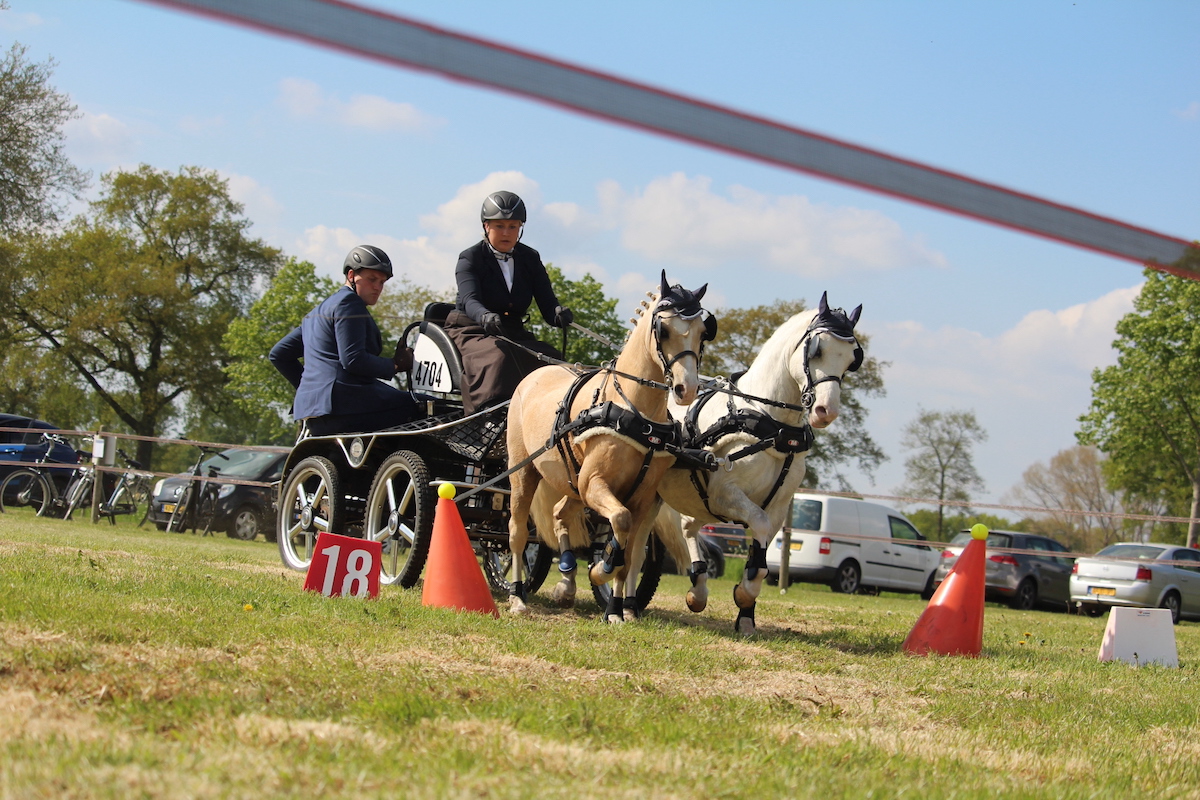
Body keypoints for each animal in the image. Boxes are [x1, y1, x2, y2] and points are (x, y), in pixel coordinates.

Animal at [504, 272, 710, 623]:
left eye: (701, 332)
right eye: (664, 330)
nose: (687, 389)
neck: (636, 414)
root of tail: (534, 374)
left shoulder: (640, 498)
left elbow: (629, 554)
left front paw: (615, 609)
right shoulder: (596, 484)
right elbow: (620, 528)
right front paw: (601, 569)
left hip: (573, 485)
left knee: (560, 514)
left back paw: (567, 579)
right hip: (524, 473)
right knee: (517, 531)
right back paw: (517, 596)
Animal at [657, 293, 864, 638]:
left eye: (852, 359)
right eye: (816, 350)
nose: (826, 410)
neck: (772, 424)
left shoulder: (777, 506)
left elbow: (761, 558)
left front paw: (746, 615)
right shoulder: (725, 495)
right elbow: (760, 530)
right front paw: (743, 593)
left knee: (688, 528)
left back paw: (697, 588)